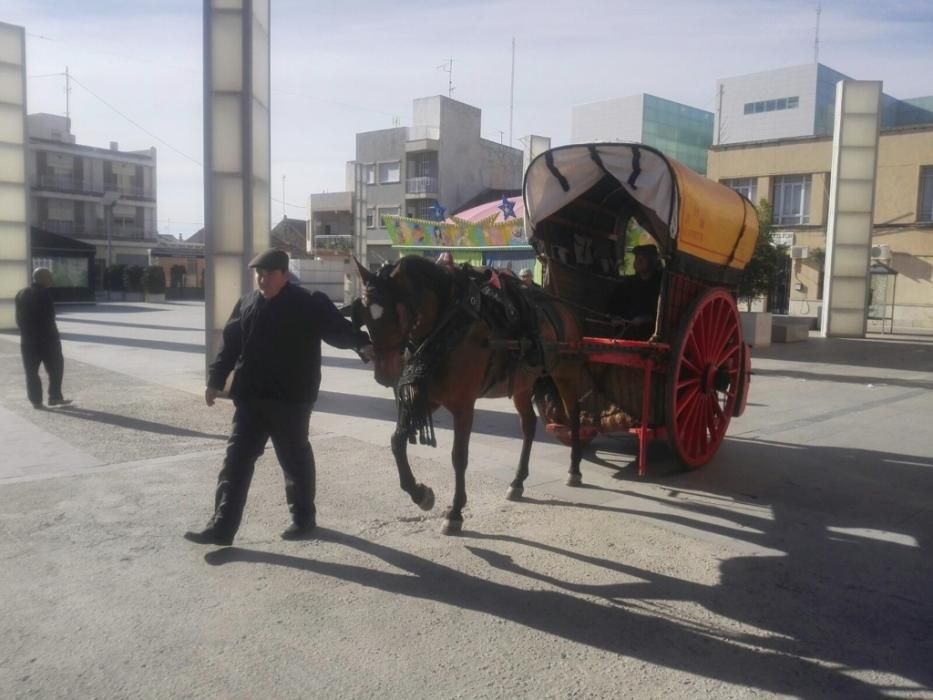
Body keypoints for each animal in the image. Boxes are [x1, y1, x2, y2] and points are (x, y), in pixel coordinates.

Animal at [354, 258, 584, 536]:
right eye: (364, 314)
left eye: (397, 312)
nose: (384, 375)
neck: (449, 325)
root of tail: (563, 307)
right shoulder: (429, 397)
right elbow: (397, 441)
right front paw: (420, 494)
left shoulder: (464, 405)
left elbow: (459, 457)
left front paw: (454, 511)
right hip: (522, 385)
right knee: (529, 426)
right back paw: (518, 480)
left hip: (566, 375)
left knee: (574, 418)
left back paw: (574, 469)